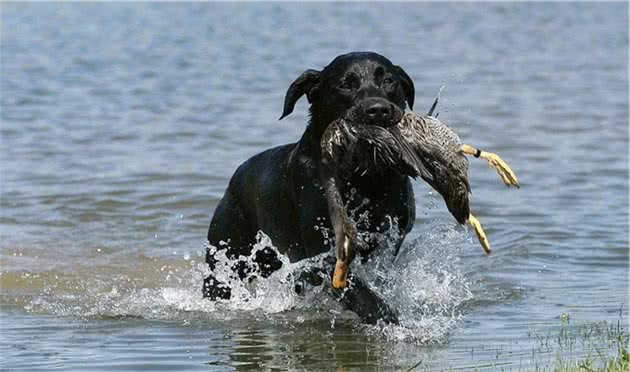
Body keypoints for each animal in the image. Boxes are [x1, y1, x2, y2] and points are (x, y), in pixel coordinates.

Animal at [205, 51, 418, 322]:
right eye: (345, 84)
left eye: (388, 80)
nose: (377, 110)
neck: (362, 178)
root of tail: (235, 178)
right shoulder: (319, 249)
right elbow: (354, 288)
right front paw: (385, 315)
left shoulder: (390, 239)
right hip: (226, 255)